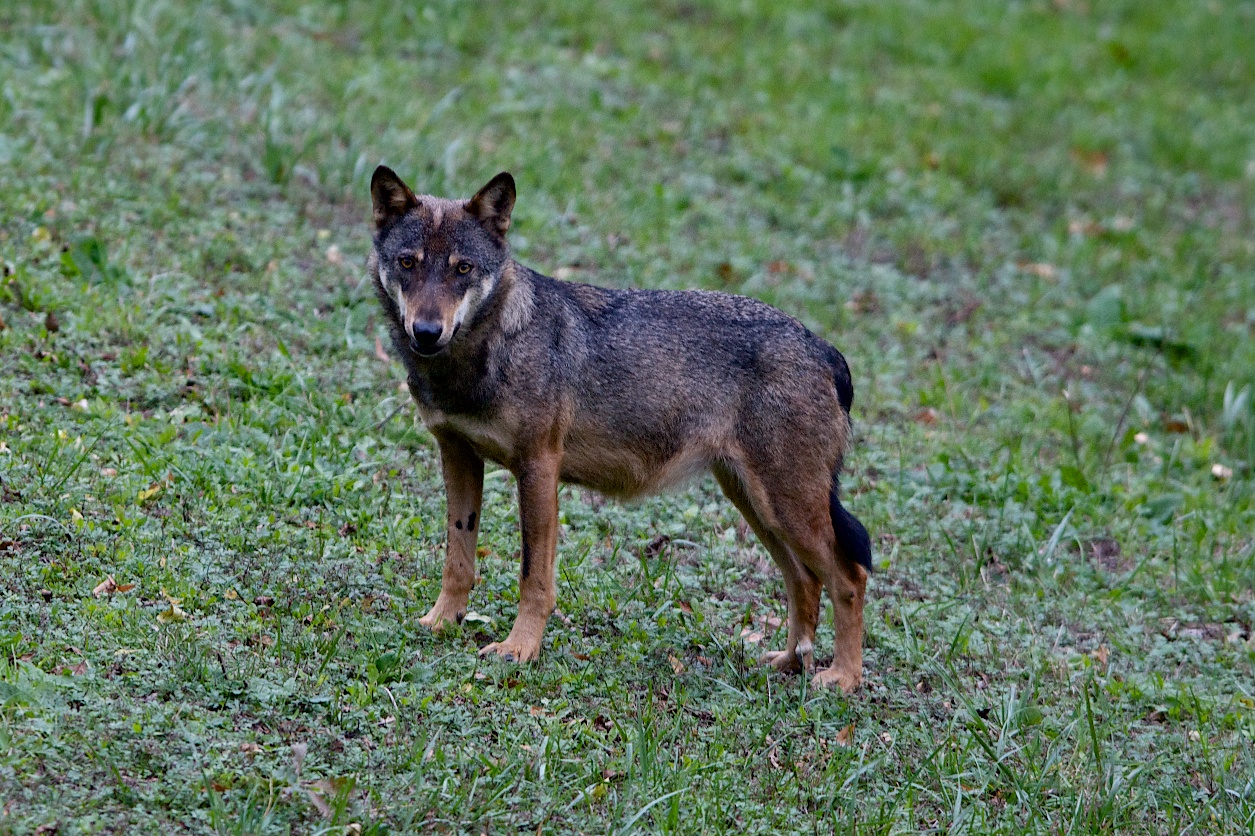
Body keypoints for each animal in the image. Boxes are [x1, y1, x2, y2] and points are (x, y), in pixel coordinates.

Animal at [368, 166, 872, 691]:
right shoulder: (458, 455)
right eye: (408, 263)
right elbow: (458, 558)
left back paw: (844, 678)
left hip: (787, 508)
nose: (426, 332)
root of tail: (826, 349)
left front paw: (518, 649)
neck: (480, 356)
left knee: (849, 576)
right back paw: (789, 663)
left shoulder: (538, 468)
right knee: (805, 580)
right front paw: (441, 622)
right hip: (757, 505)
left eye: (462, 269)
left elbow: (533, 578)